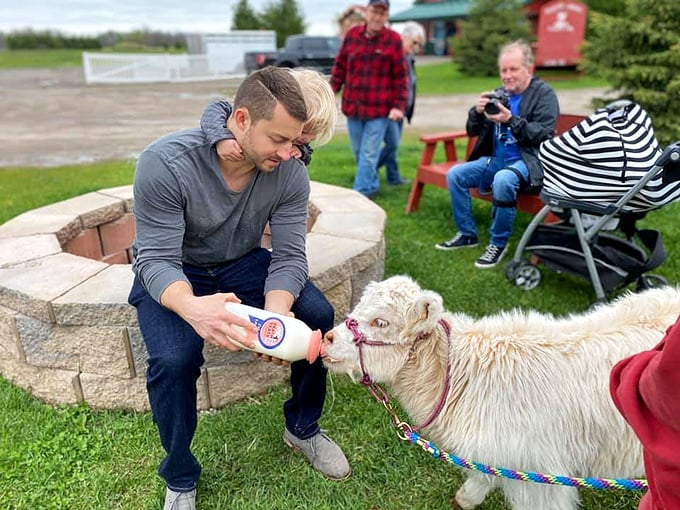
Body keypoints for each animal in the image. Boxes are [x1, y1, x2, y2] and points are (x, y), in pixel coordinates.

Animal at [322, 276, 680, 510]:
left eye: (381, 322)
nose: (326, 338)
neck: (464, 377)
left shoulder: (540, 476)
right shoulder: (498, 455)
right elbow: (481, 477)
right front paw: (465, 499)